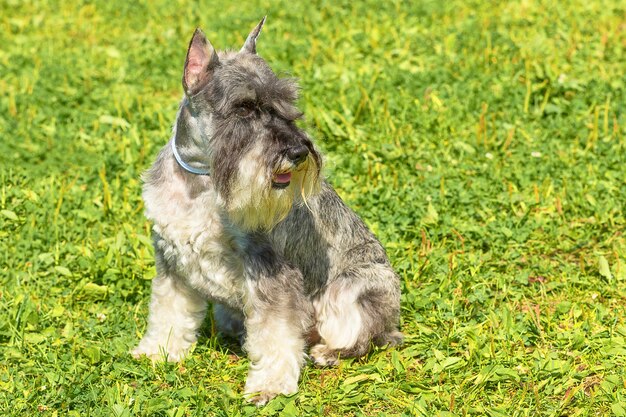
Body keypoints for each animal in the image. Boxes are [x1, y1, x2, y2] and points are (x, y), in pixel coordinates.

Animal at [132, 17, 402, 404]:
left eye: (286, 102)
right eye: (243, 108)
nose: (298, 151)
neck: (202, 182)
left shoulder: (271, 269)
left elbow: (277, 332)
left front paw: (270, 385)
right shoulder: (171, 261)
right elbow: (168, 310)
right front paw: (158, 351)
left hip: (355, 290)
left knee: (363, 336)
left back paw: (328, 352)